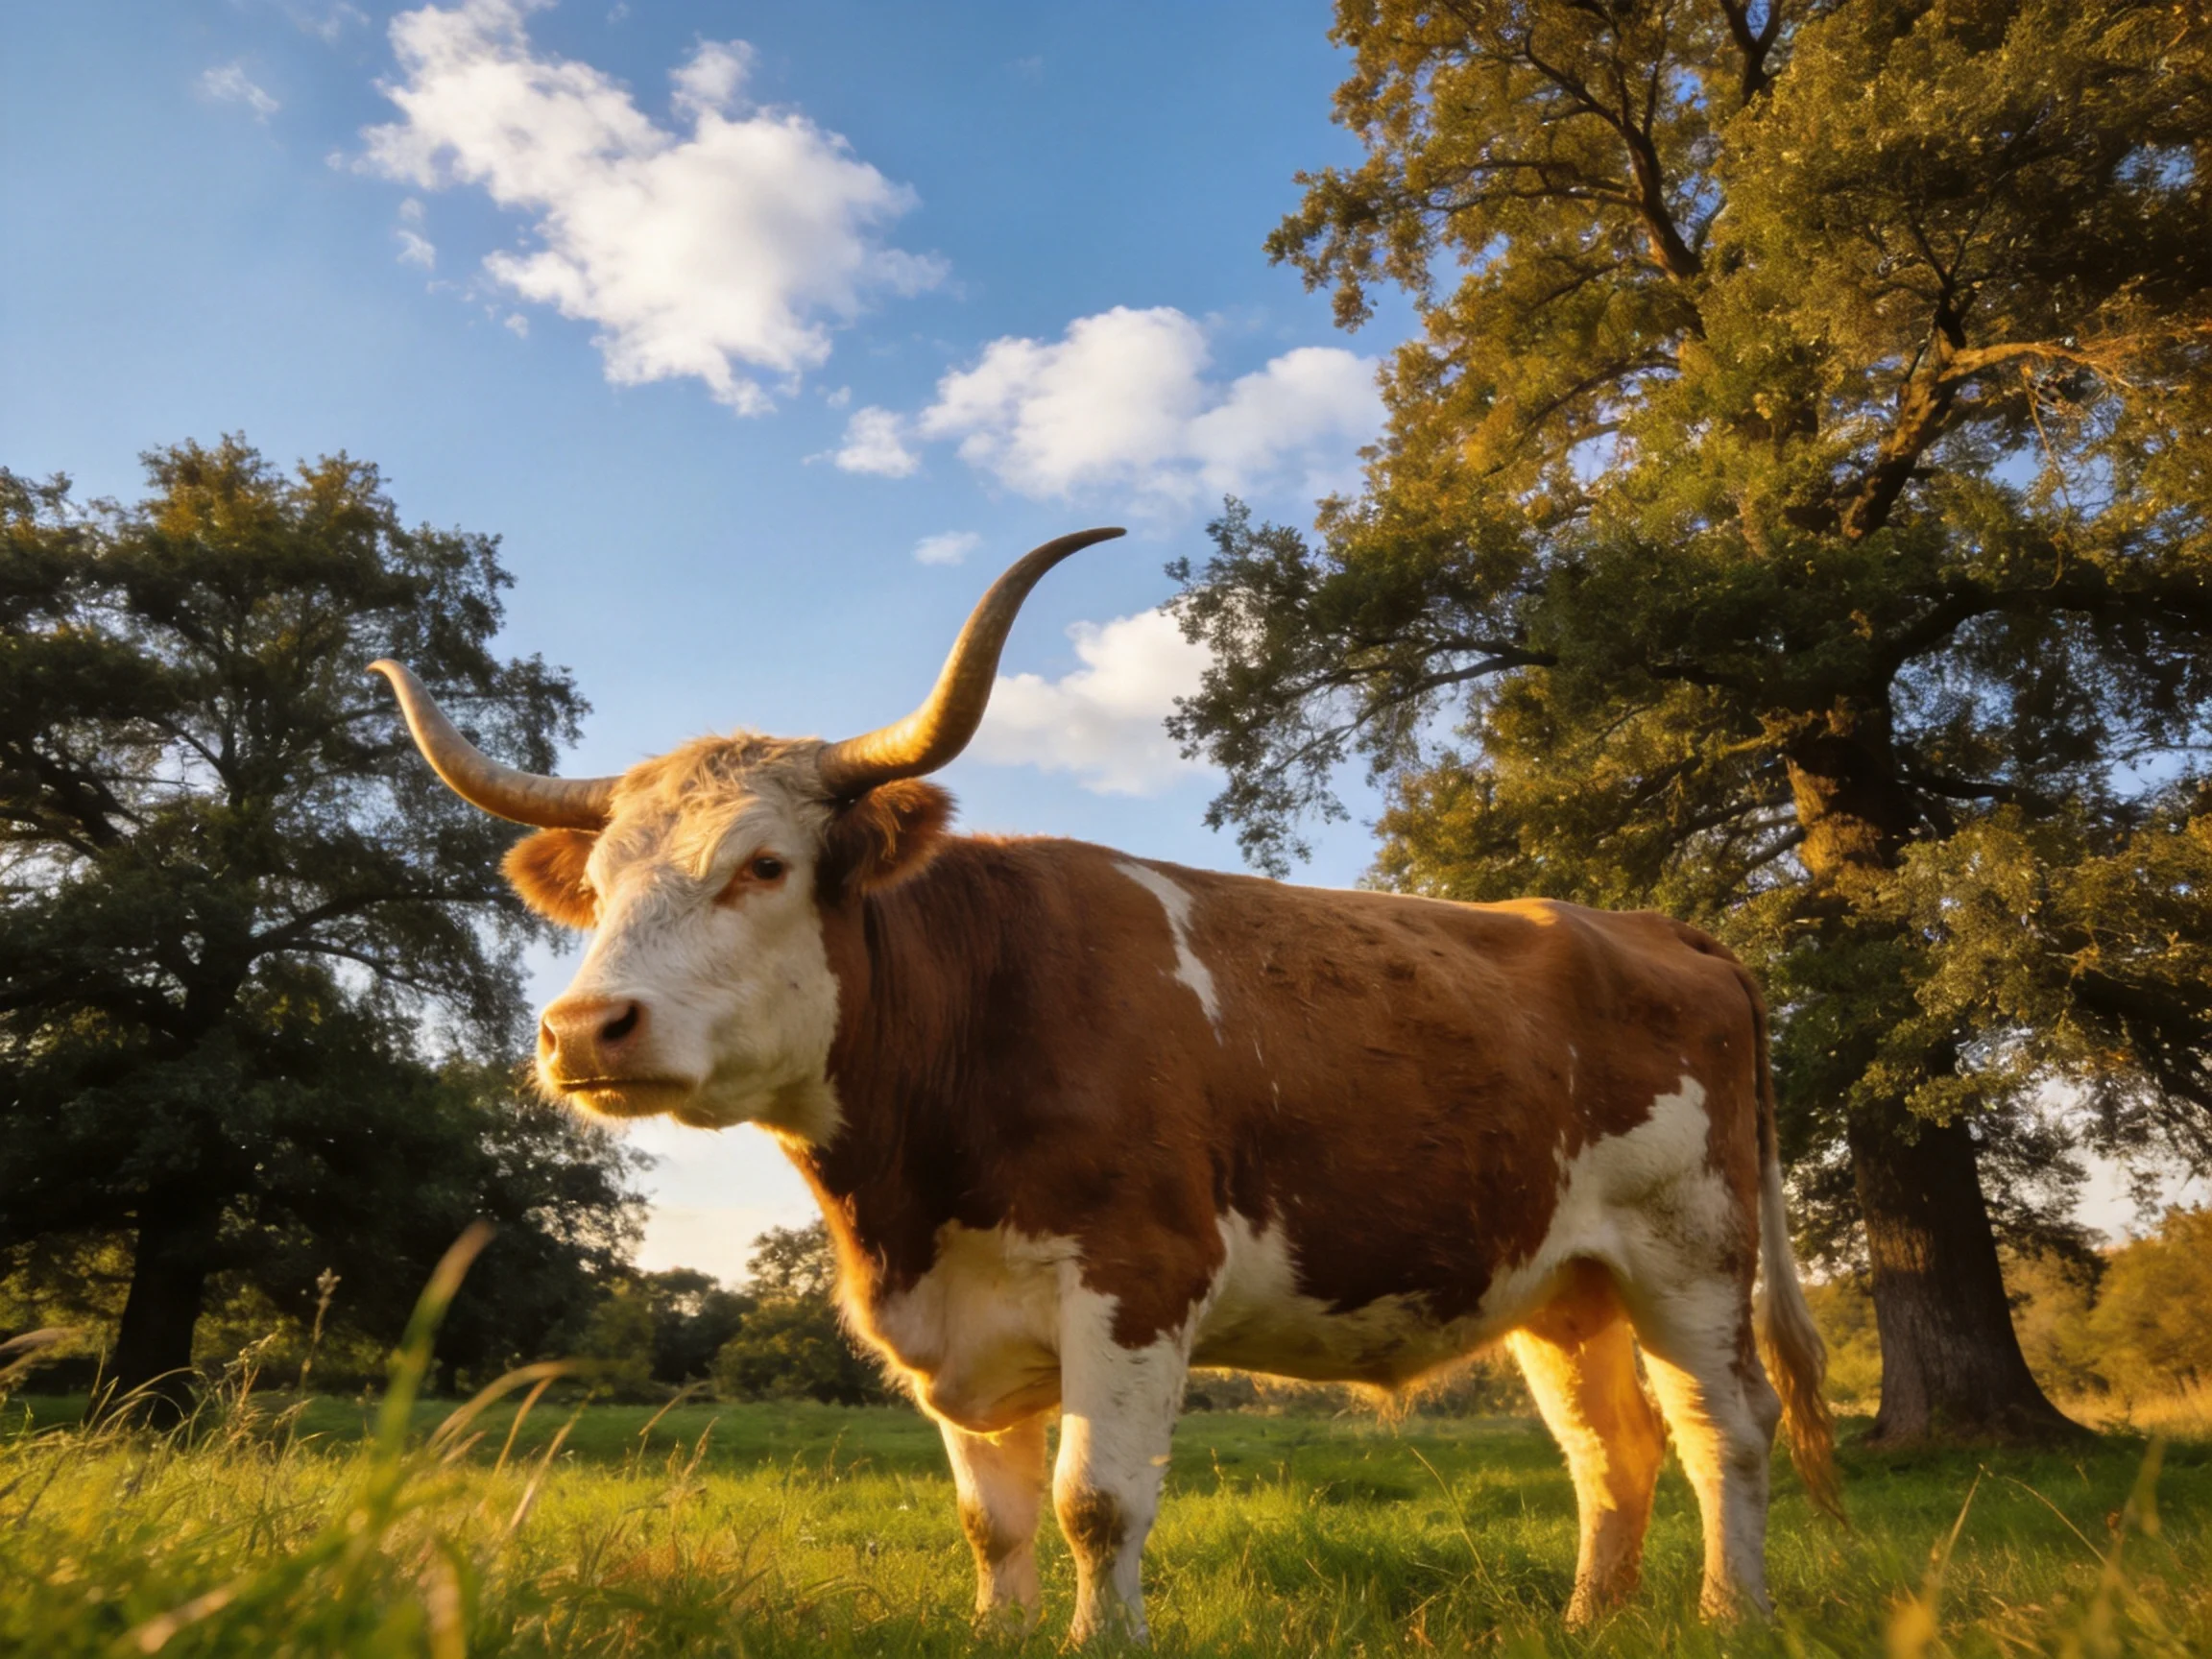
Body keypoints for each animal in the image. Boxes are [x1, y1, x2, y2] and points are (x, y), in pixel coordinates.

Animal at [371, 528, 1838, 1643]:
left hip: (1693, 1255)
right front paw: (998, 1635)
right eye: (600, 882)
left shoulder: (1137, 1277)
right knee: (1611, 1451)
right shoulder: (961, 1326)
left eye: (765, 866)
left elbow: (1095, 1504)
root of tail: (1647, 926)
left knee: (1725, 1431)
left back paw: (1733, 1617)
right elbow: (993, 1519)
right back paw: (1589, 1624)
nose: (583, 1029)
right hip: (1563, 1285)